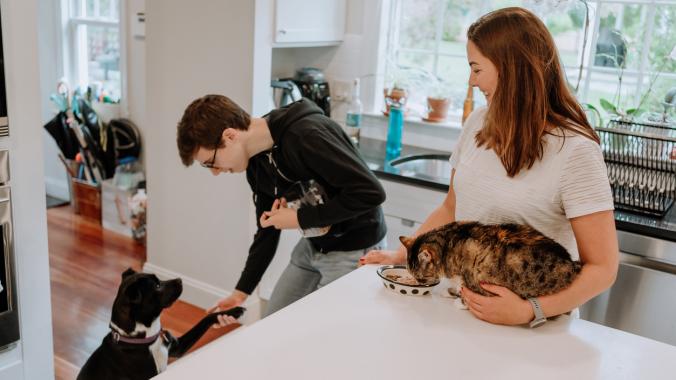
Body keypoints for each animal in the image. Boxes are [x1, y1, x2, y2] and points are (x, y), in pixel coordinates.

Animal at [77, 268, 246, 380]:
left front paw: (234, 311)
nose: (180, 279)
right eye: (157, 286)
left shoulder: (176, 348)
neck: (143, 340)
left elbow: (207, 317)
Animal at [398, 221, 584, 302]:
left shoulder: (474, 278)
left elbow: (467, 291)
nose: (418, 283)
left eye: (421, 278)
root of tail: (571, 263)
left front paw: (459, 300)